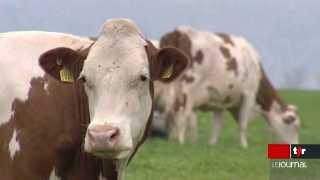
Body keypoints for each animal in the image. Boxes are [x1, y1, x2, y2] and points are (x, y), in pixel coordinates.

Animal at [156, 26, 302, 148]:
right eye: (295, 126)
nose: (296, 145)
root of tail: (179, 32)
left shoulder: (220, 99)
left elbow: (217, 125)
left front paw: (212, 144)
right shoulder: (249, 94)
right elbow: (243, 124)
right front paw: (244, 146)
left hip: (168, 88)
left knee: (170, 113)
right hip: (187, 89)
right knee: (181, 114)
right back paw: (180, 142)